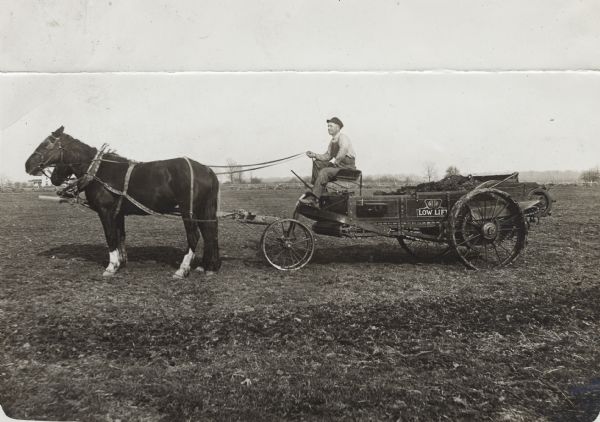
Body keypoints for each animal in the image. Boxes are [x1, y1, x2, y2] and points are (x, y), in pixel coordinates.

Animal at [24, 125, 220, 276]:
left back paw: (183, 269)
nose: (27, 165)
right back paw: (208, 267)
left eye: (46, 144)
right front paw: (121, 261)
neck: (98, 170)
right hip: (203, 209)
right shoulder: (118, 213)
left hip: (188, 210)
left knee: (194, 235)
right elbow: (120, 236)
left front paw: (111, 266)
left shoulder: (105, 211)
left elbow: (110, 236)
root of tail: (207, 170)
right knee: (210, 233)